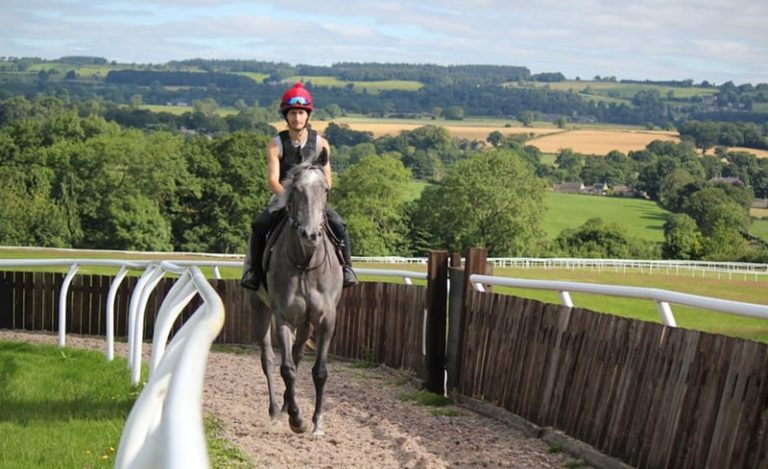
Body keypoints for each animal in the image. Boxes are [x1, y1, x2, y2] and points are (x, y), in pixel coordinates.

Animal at [248, 162, 344, 436]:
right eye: (296, 190)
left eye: (325, 189)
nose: (310, 235)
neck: (305, 264)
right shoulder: (283, 317)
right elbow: (286, 369)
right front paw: (297, 419)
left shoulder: (326, 320)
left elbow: (319, 371)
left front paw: (317, 422)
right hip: (259, 308)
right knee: (269, 359)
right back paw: (275, 411)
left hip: (305, 323)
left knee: (298, 354)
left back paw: (283, 407)